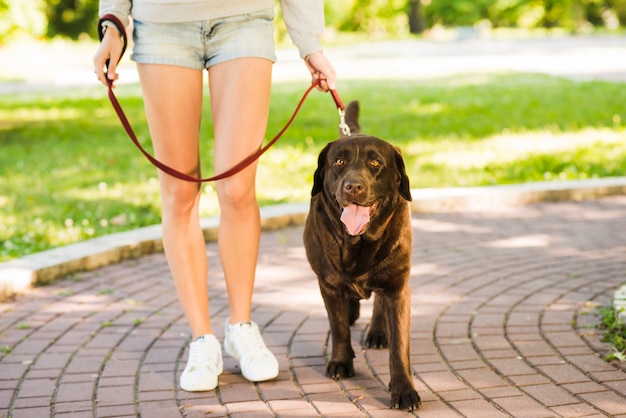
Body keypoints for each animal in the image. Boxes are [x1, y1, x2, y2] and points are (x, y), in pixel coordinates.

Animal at [302, 101, 420, 412]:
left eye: (376, 163)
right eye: (339, 162)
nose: (353, 186)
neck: (357, 242)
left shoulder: (398, 287)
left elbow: (399, 346)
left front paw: (403, 389)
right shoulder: (328, 285)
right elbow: (339, 327)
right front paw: (341, 362)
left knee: (378, 302)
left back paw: (377, 332)